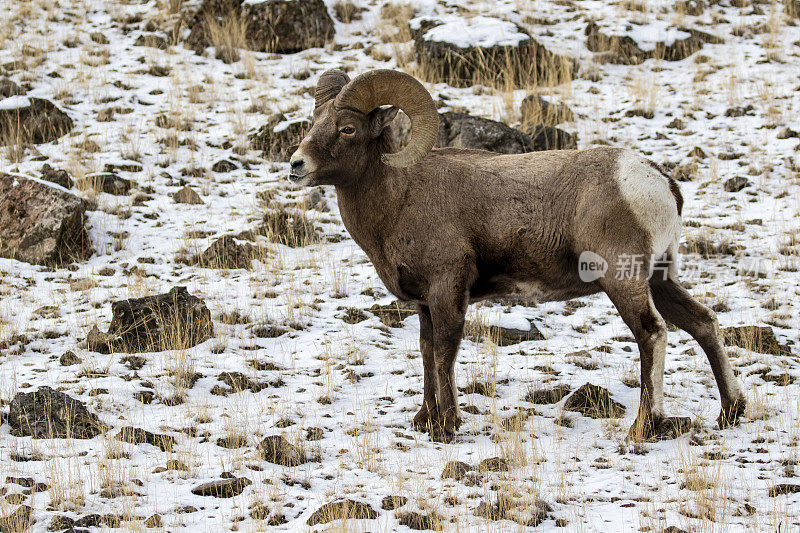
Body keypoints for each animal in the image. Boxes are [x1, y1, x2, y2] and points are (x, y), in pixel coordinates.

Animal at [288, 68, 744, 438]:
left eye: (347, 128)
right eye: (315, 121)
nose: (296, 165)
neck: (399, 198)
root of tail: (658, 182)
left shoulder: (447, 290)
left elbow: (444, 352)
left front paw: (446, 427)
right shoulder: (424, 303)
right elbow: (426, 351)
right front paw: (423, 419)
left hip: (624, 280)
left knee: (652, 334)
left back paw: (643, 427)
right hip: (661, 277)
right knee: (703, 322)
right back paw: (730, 412)